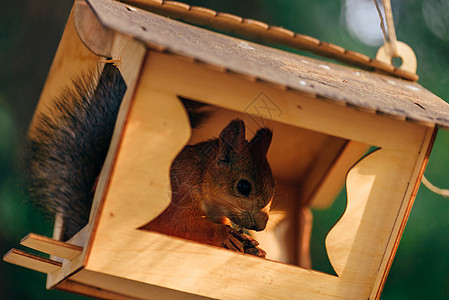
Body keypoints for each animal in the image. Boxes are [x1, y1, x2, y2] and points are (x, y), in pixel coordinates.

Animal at [22, 62, 274, 256]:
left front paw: (251, 245)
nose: (261, 226)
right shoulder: (179, 193)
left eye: (273, 188)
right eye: (244, 187)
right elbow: (176, 223)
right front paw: (224, 234)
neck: (203, 176)